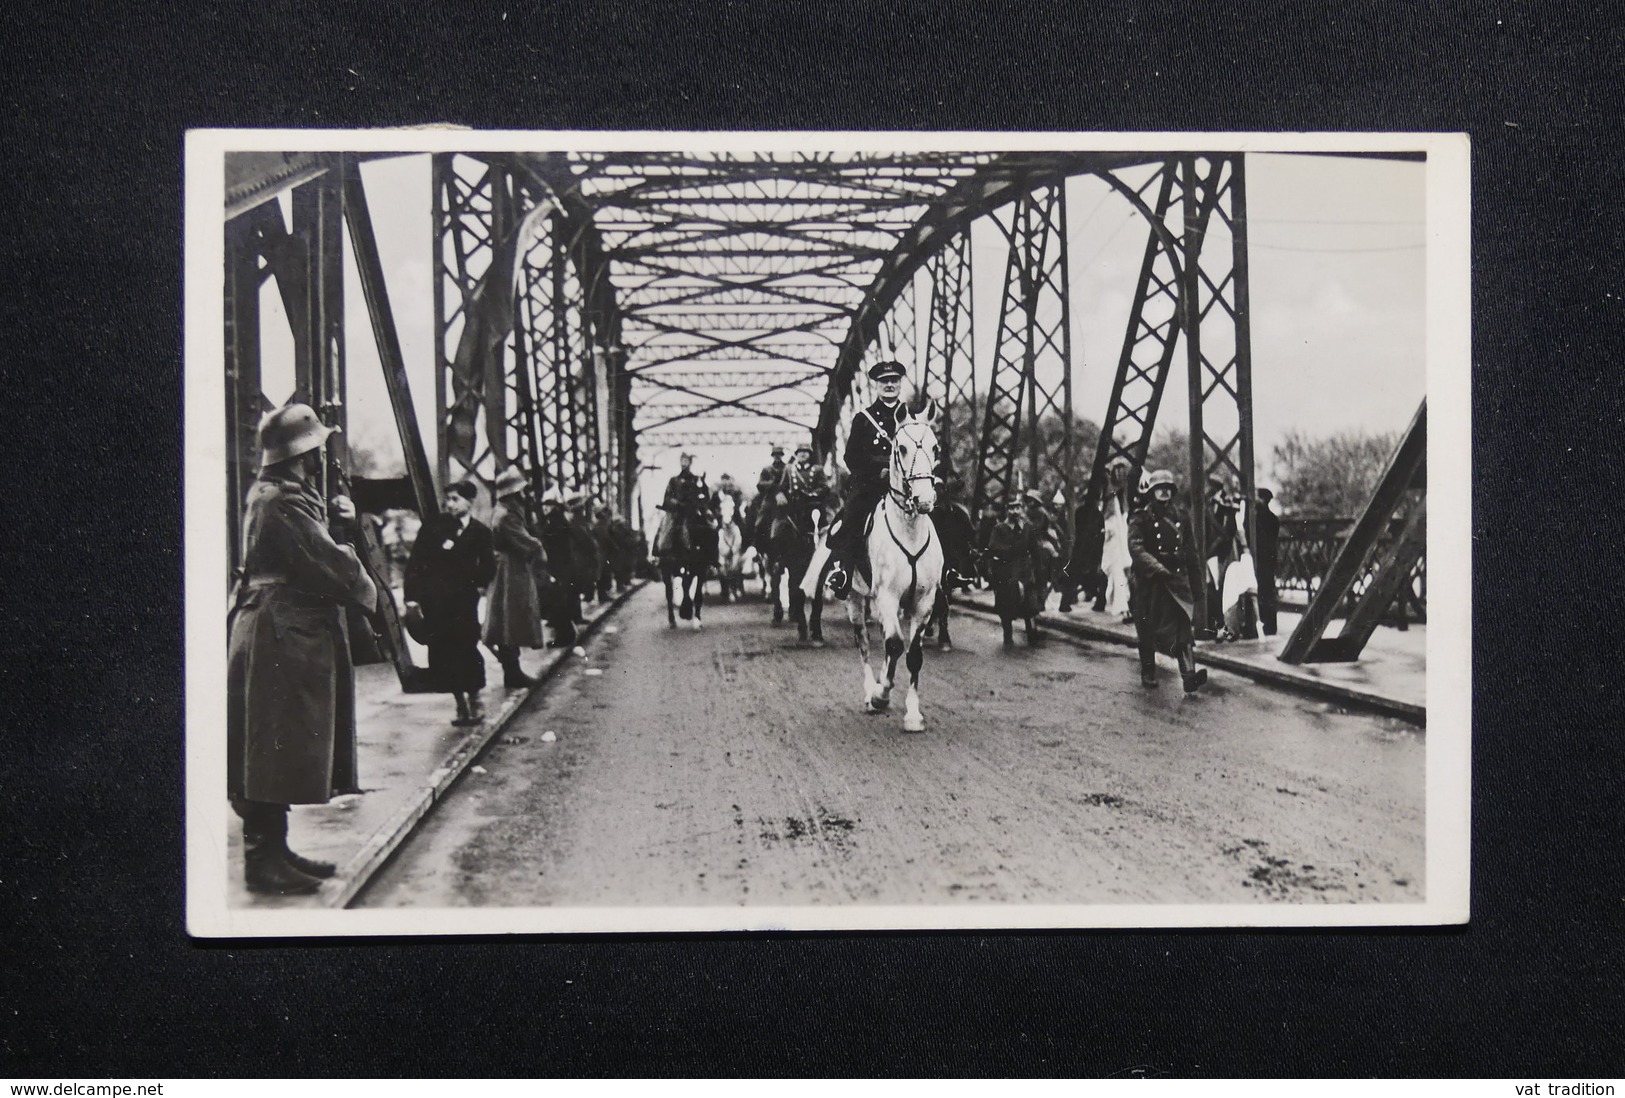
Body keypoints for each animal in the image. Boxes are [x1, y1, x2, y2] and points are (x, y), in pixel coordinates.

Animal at [838, 415, 942, 734]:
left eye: (936, 447)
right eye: (901, 448)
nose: (924, 499)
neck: (909, 530)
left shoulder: (924, 602)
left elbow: (913, 654)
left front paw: (913, 715)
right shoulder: (886, 595)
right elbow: (894, 644)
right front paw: (880, 695)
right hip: (855, 599)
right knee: (864, 642)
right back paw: (871, 691)